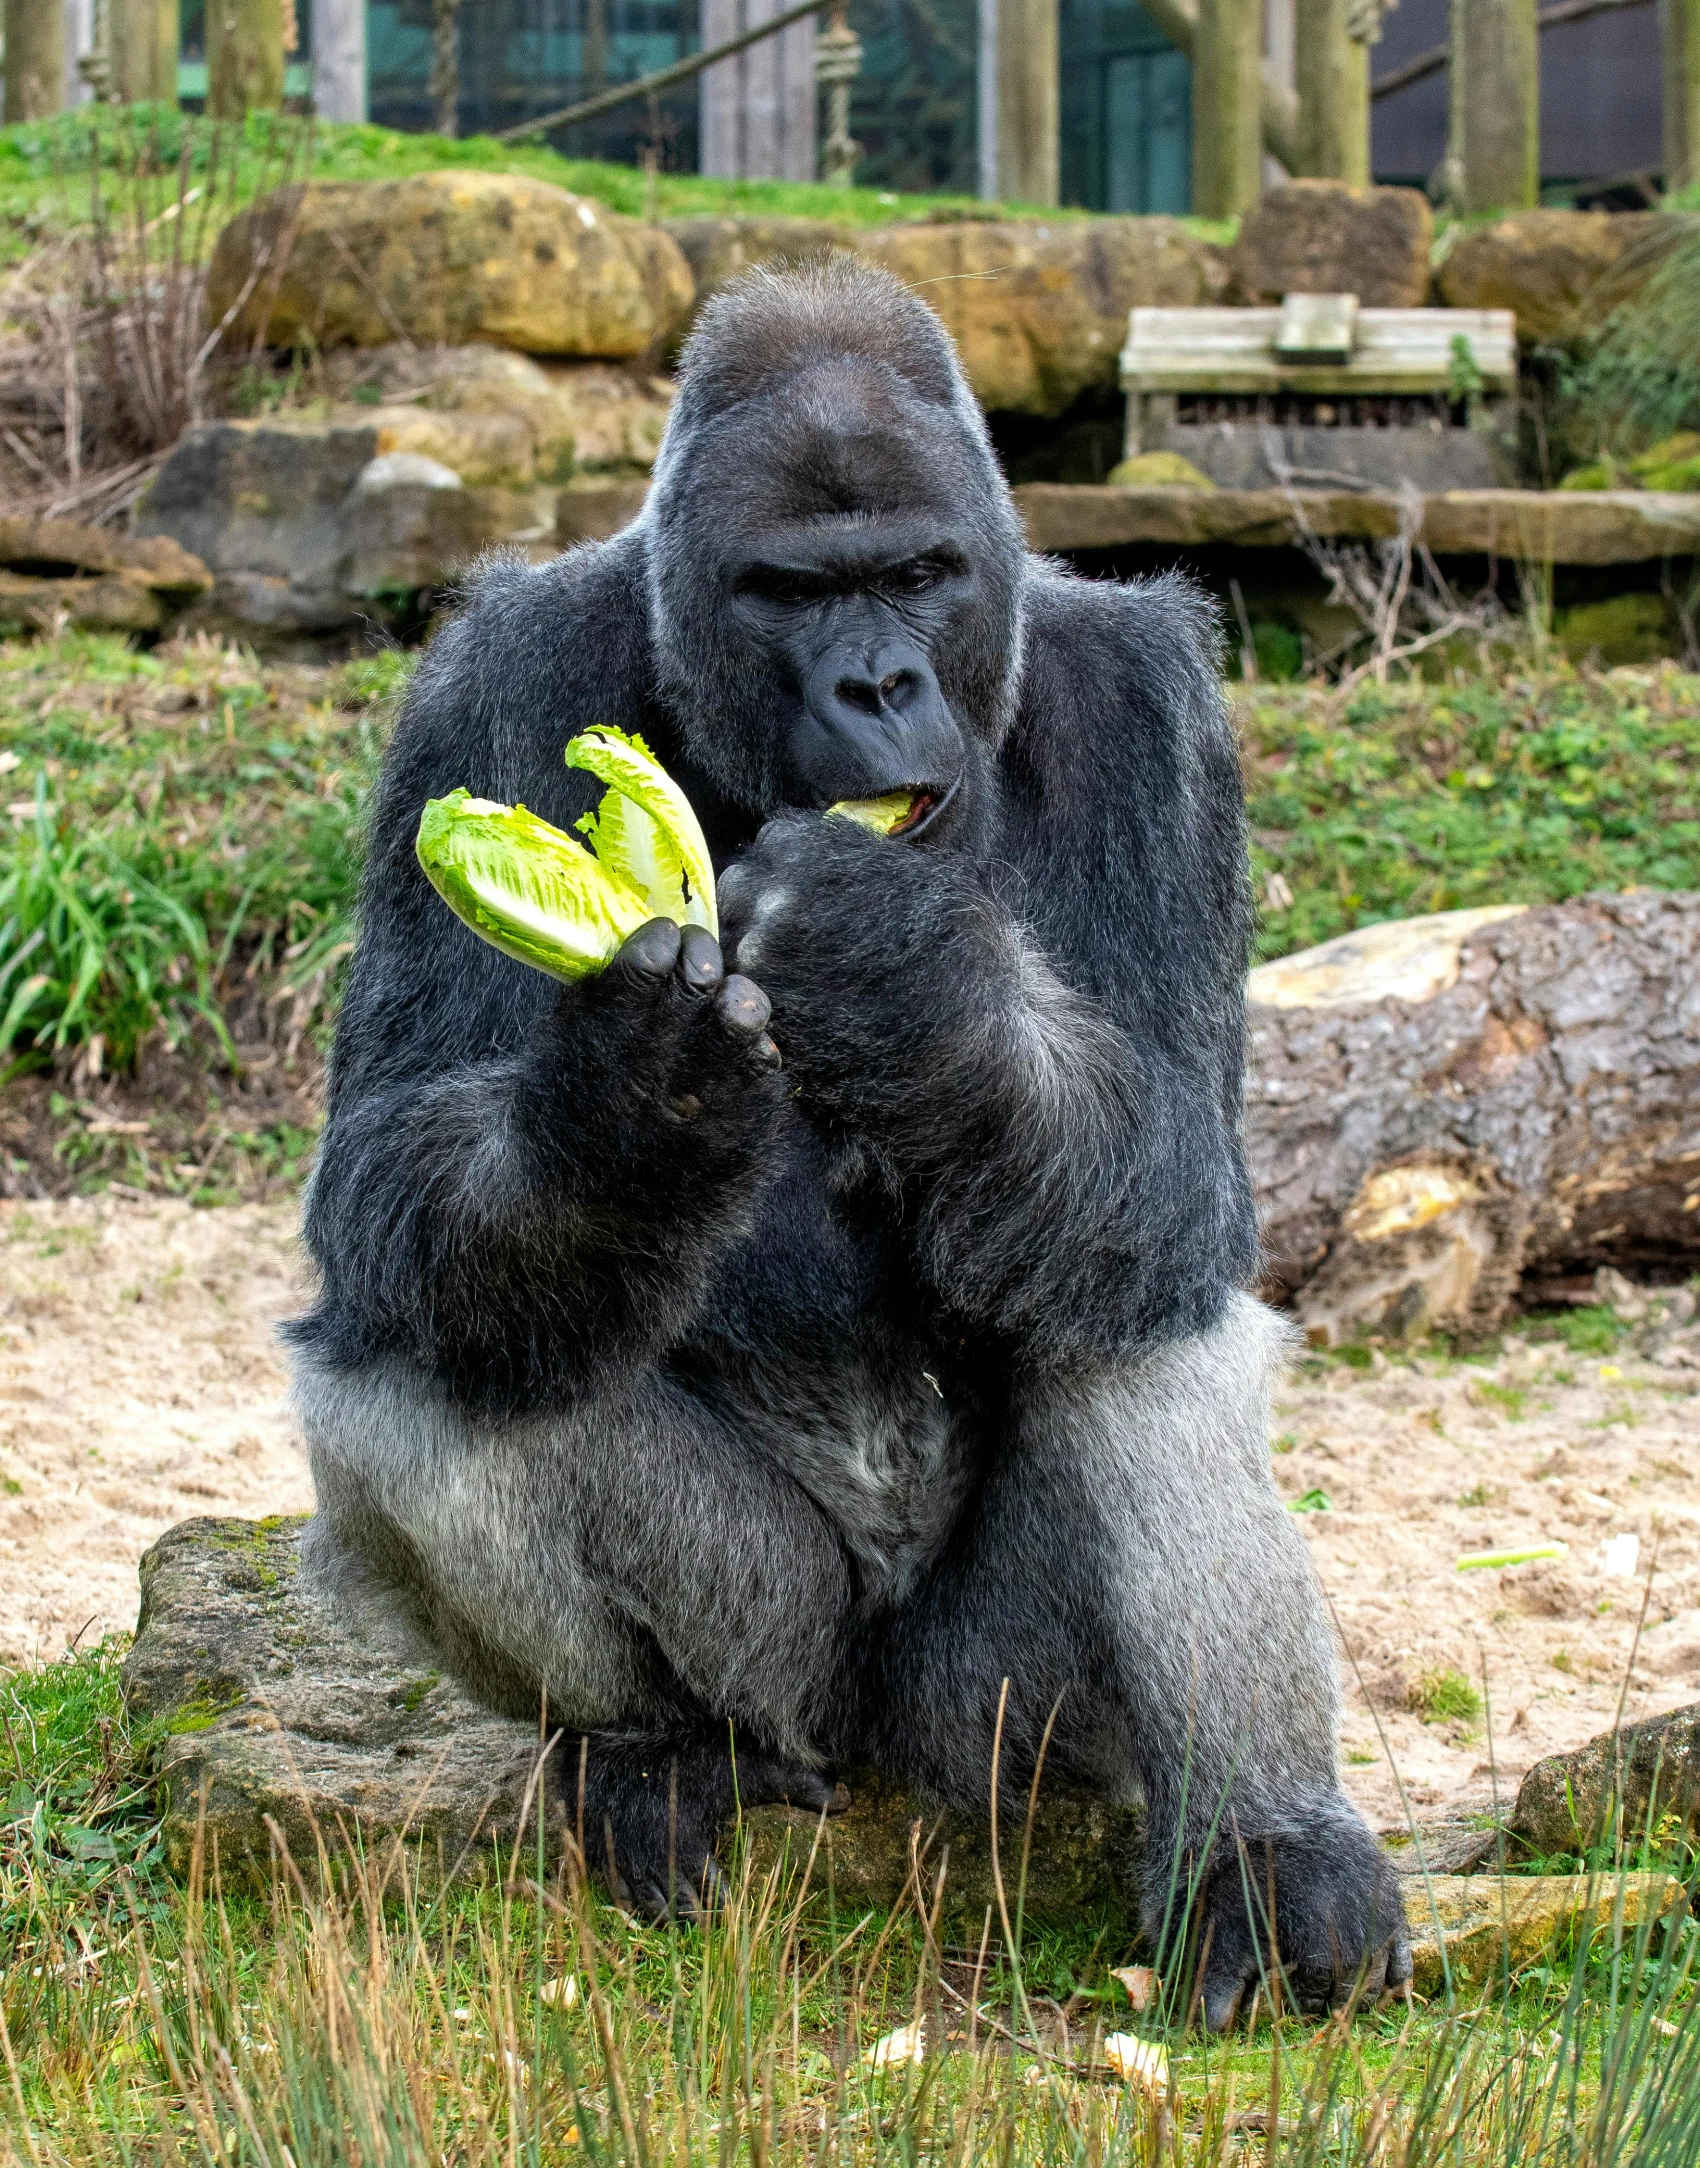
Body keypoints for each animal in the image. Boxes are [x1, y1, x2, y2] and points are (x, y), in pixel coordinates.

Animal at [292, 262, 1405, 2020]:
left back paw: (1266, 1855)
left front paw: (899, 971)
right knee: (420, 1358)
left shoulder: (1156, 709)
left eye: (917, 576)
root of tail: (878, 1763)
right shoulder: (483, 680)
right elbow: (387, 1165)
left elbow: (1179, 1169)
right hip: (799, 1677)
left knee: (1137, 1312)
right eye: (792, 592)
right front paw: (630, 1104)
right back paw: (665, 1751)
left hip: (997, 1733)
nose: (877, 687)